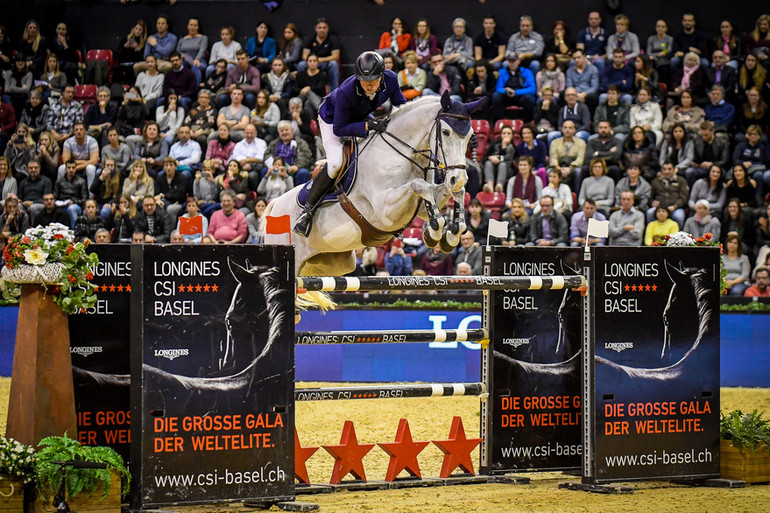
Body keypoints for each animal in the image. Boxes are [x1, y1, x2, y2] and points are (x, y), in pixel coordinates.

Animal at [264, 92, 480, 276]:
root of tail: (273, 207)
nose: (458, 177)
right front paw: (435, 231)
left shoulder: (419, 208)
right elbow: (419, 185)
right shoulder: (385, 209)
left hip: (327, 264)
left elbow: (454, 192)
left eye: (470, 136)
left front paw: (452, 233)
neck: (402, 153)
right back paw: (303, 220)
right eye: (446, 132)